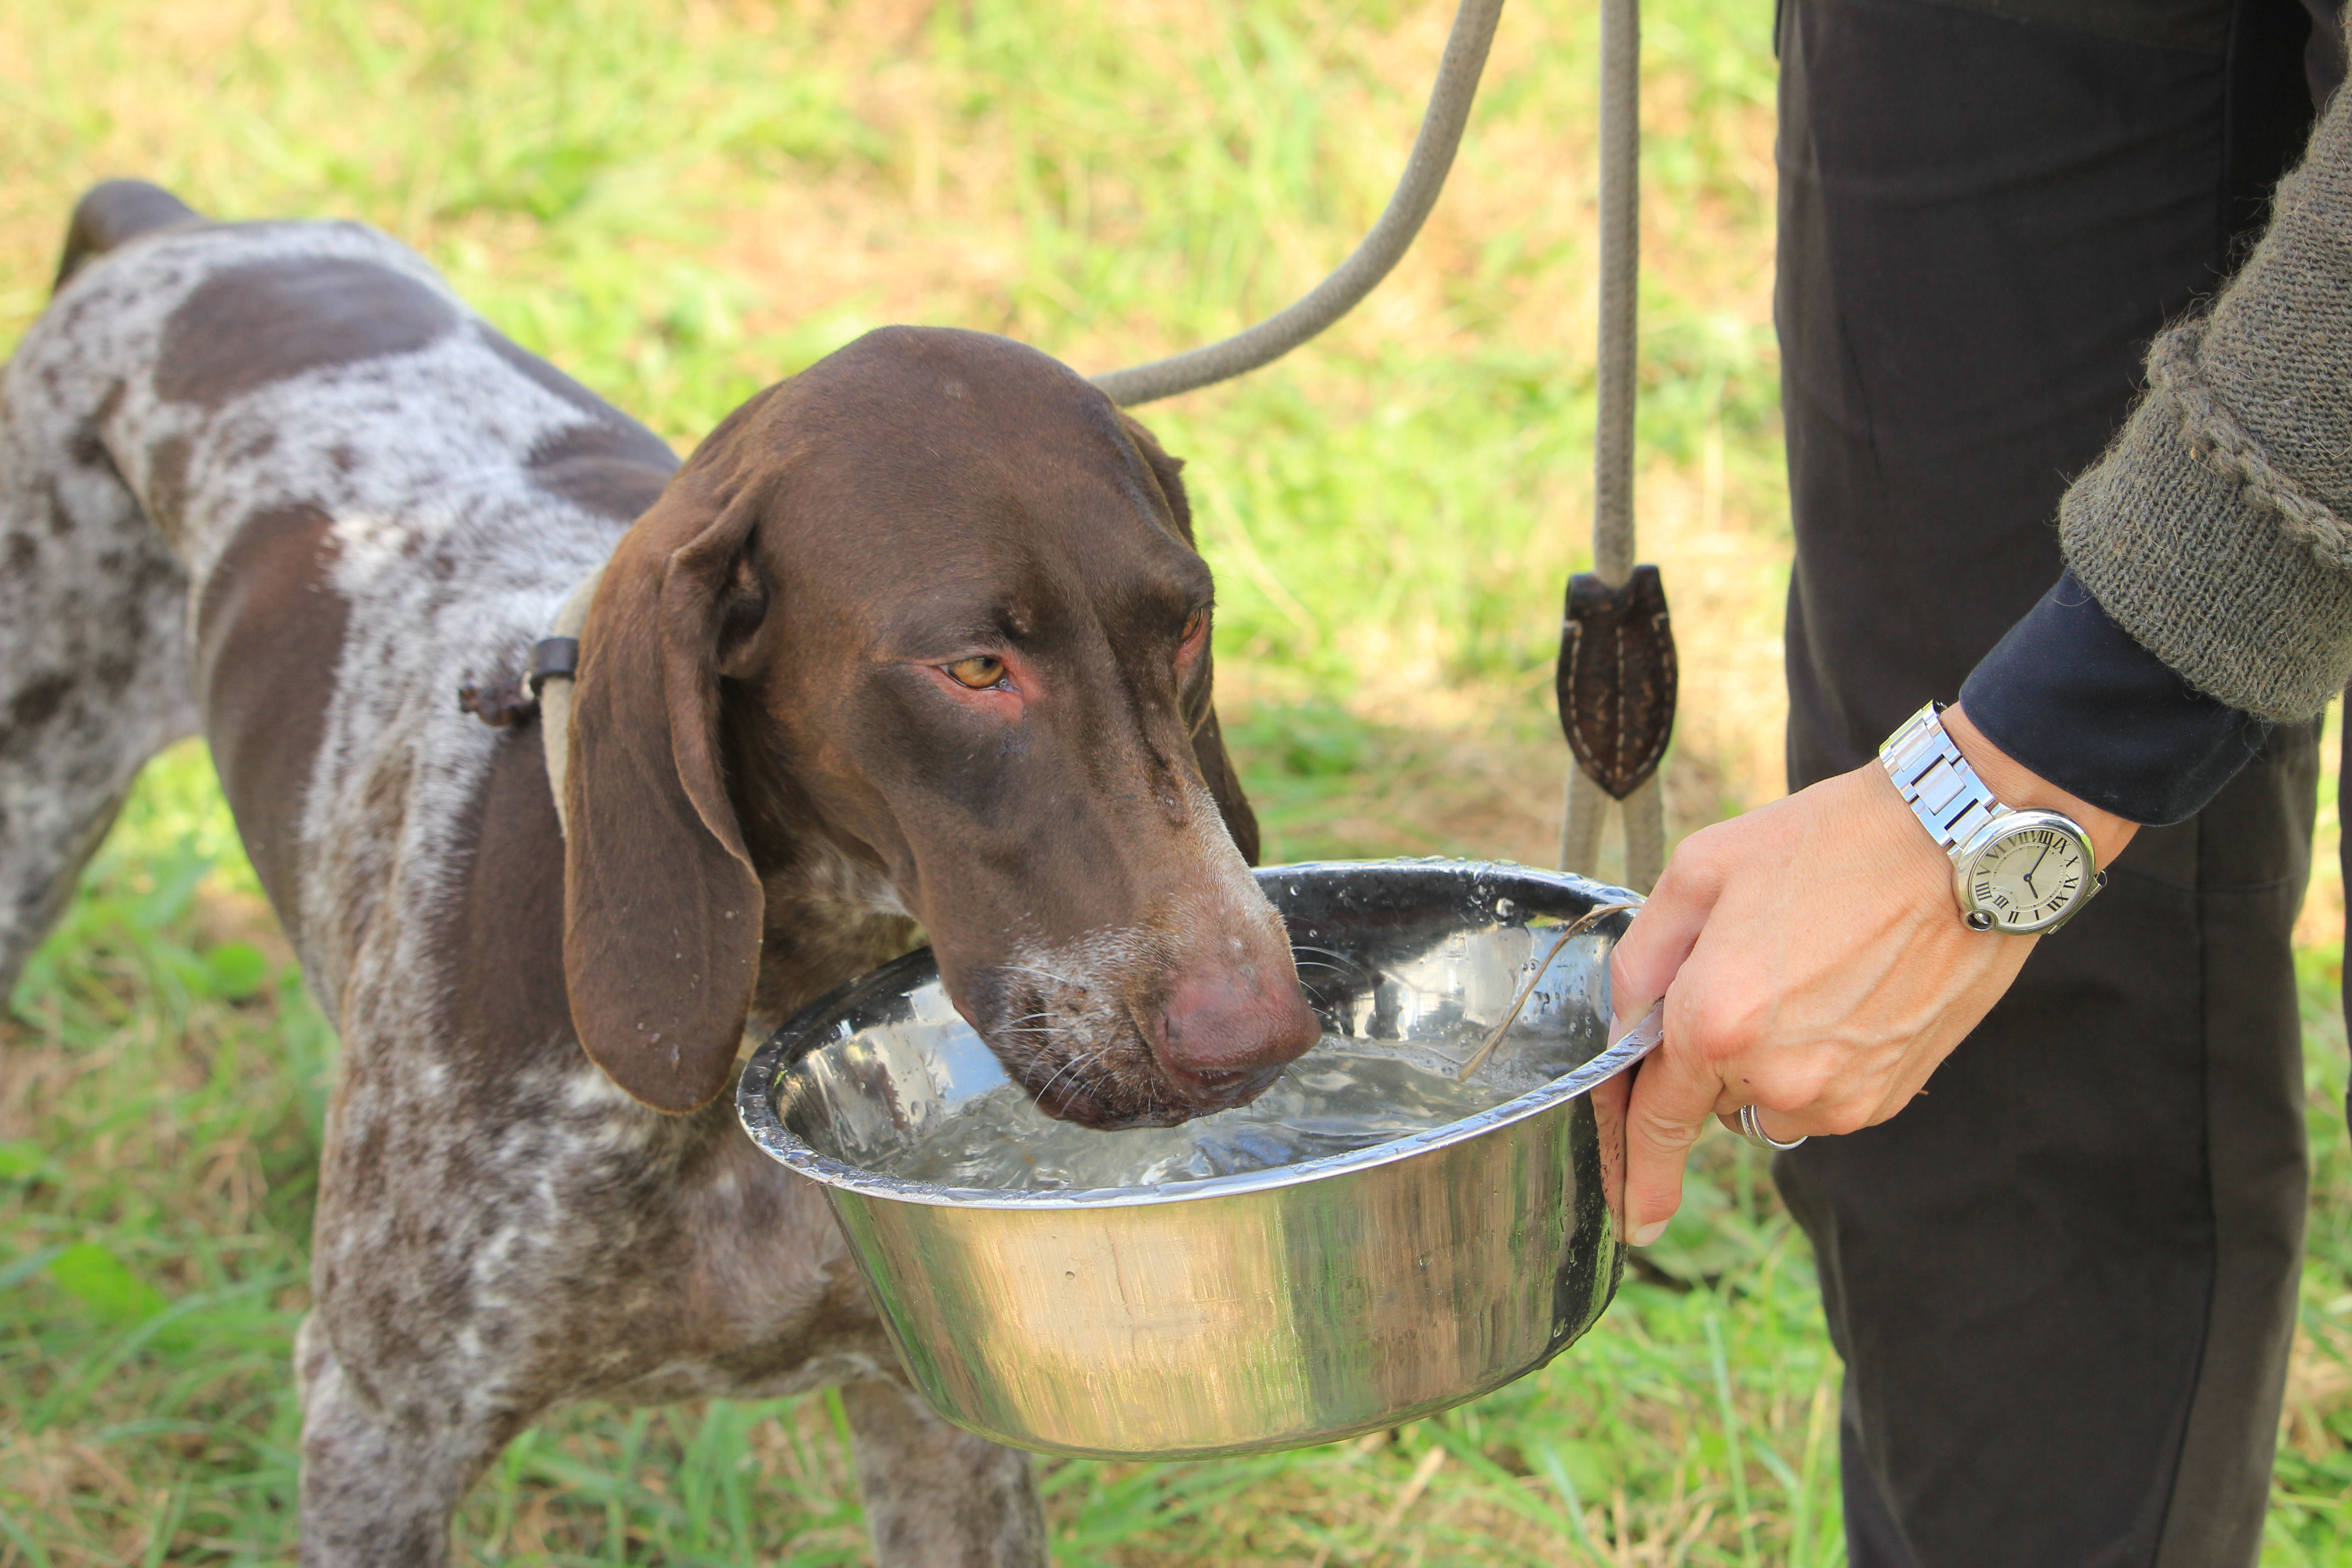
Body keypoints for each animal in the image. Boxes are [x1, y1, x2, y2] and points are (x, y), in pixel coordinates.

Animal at [0, 186, 1317, 1568]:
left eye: (1185, 625)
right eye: (972, 669)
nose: (1260, 1031)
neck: (771, 988)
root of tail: (171, 224)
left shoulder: (938, 1410)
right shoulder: (381, 1429)